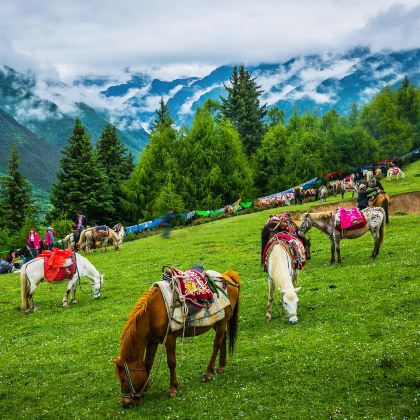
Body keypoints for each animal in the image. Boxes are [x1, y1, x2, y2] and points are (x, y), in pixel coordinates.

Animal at [115, 270, 241, 408]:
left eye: (123, 379)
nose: (125, 403)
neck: (152, 313)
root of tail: (228, 276)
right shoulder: (152, 340)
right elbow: (148, 363)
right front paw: (145, 389)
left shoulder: (169, 338)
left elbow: (171, 362)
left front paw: (173, 388)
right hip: (217, 322)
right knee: (223, 339)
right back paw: (221, 367)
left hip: (222, 322)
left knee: (217, 343)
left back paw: (208, 373)